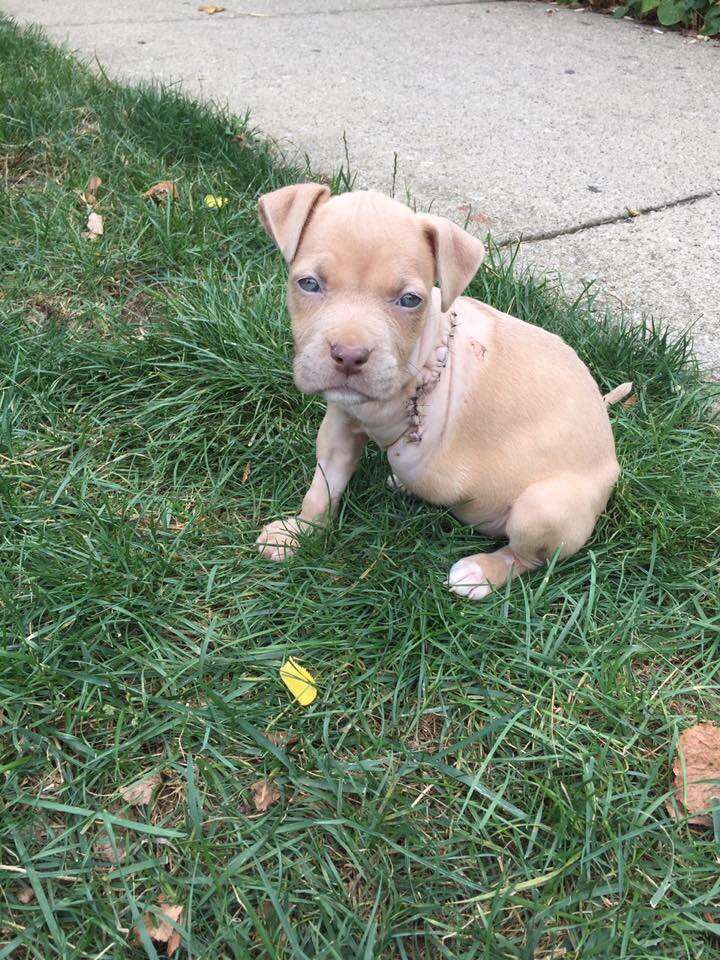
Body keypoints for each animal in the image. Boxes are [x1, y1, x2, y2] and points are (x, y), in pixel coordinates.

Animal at [256, 183, 620, 596]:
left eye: (409, 300)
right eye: (309, 284)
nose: (349, 356)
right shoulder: (340, 423)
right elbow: (322, 488)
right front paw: (298, 533)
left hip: (542, 508)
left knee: (530, 558)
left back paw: (480, 572)